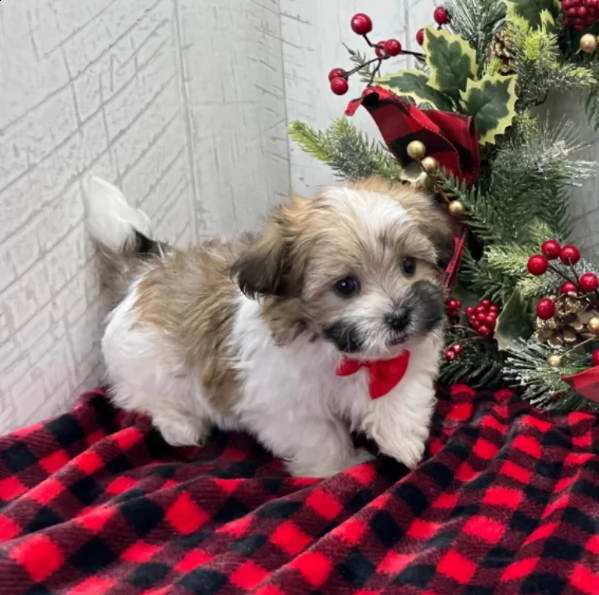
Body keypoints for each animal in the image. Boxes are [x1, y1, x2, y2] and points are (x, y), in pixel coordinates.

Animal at [84, 175, 450, 478]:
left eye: (408, 265)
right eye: (346, 286)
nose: (400, 316)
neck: (343, 354)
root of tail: (150, 270)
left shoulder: (404, 358)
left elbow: (403, 391)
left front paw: (402, 440)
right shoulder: (285, 406)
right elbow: (321, 437)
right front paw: (339, 468)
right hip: (146, 361)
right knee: (144, 397)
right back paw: (181, 426)